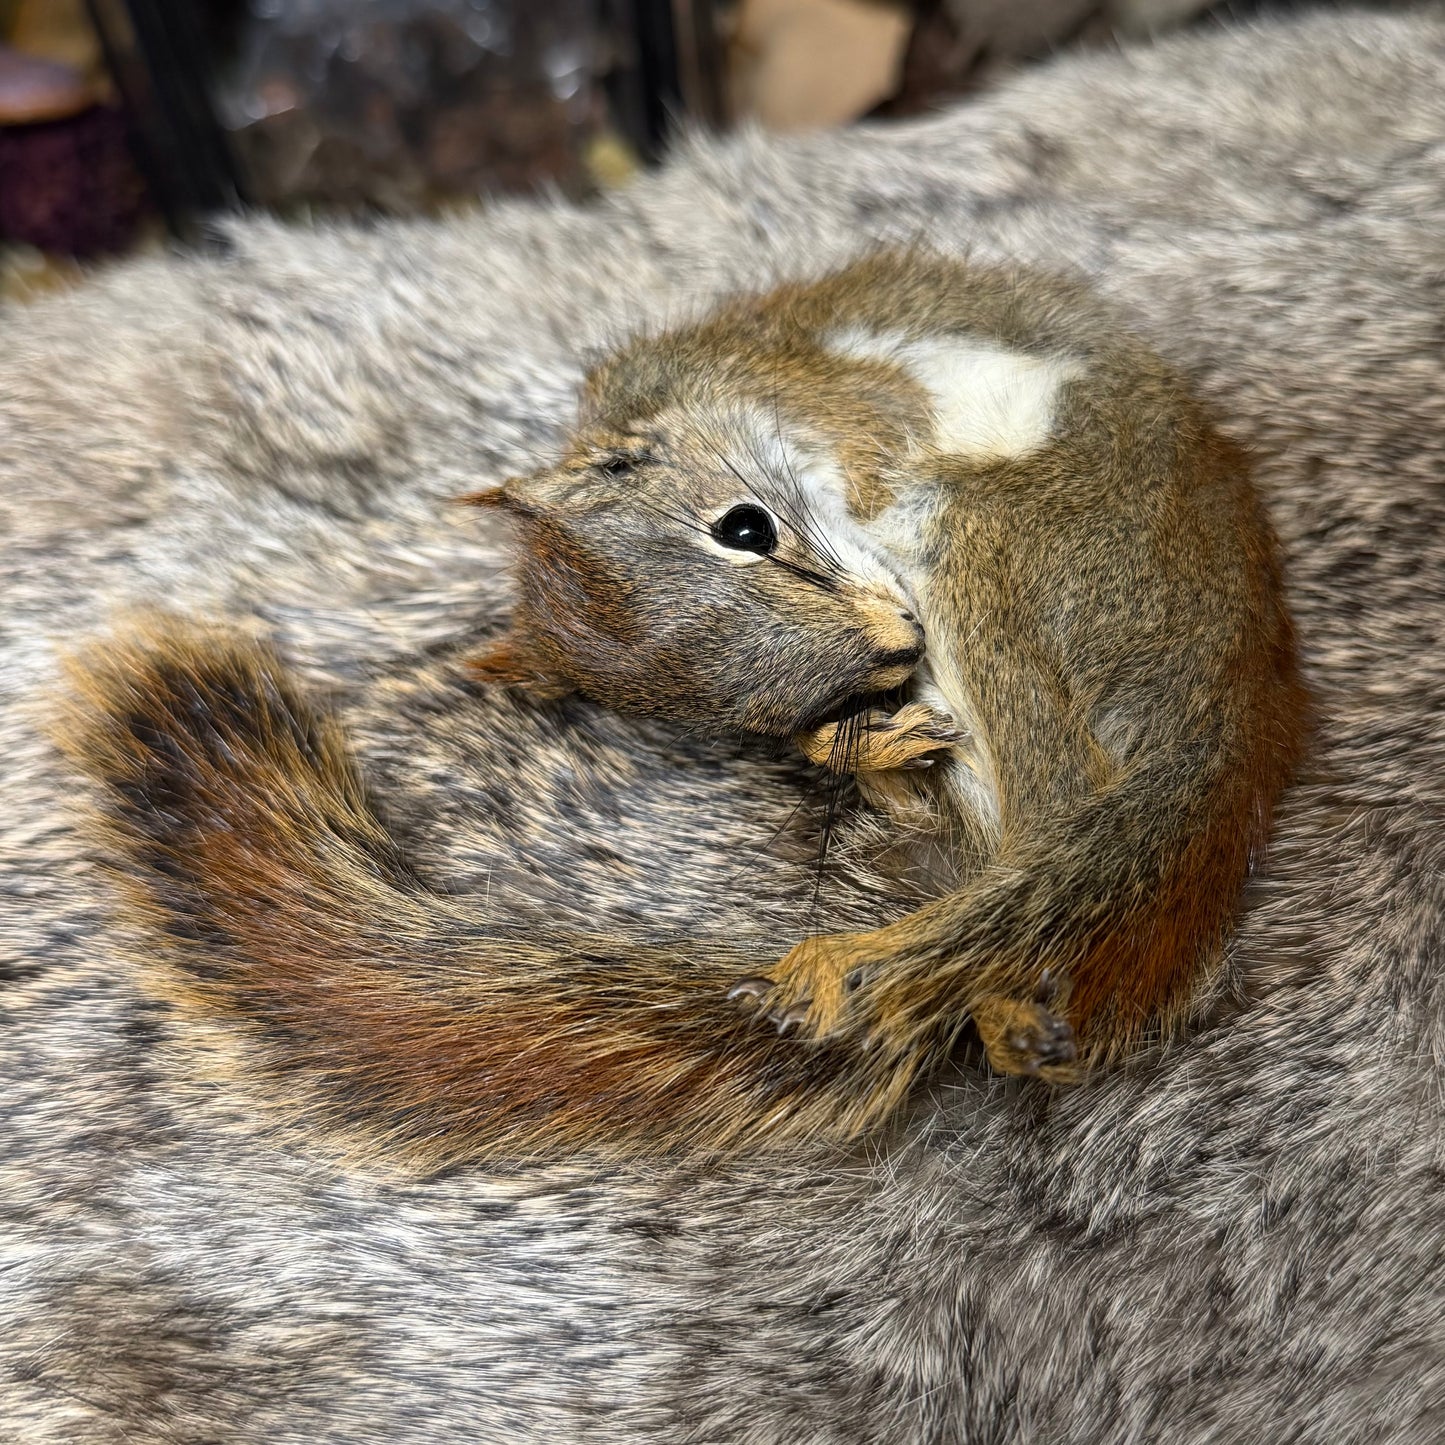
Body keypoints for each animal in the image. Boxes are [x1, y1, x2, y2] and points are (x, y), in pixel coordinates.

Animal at [55, 251, 1305, 1165]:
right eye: (740, 715)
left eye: (747, 527)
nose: (896, 653)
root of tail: (1230, 676)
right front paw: (851, 735)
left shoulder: (839, 392)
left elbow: (880, 429)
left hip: (1021, 548)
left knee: (1057, 791)